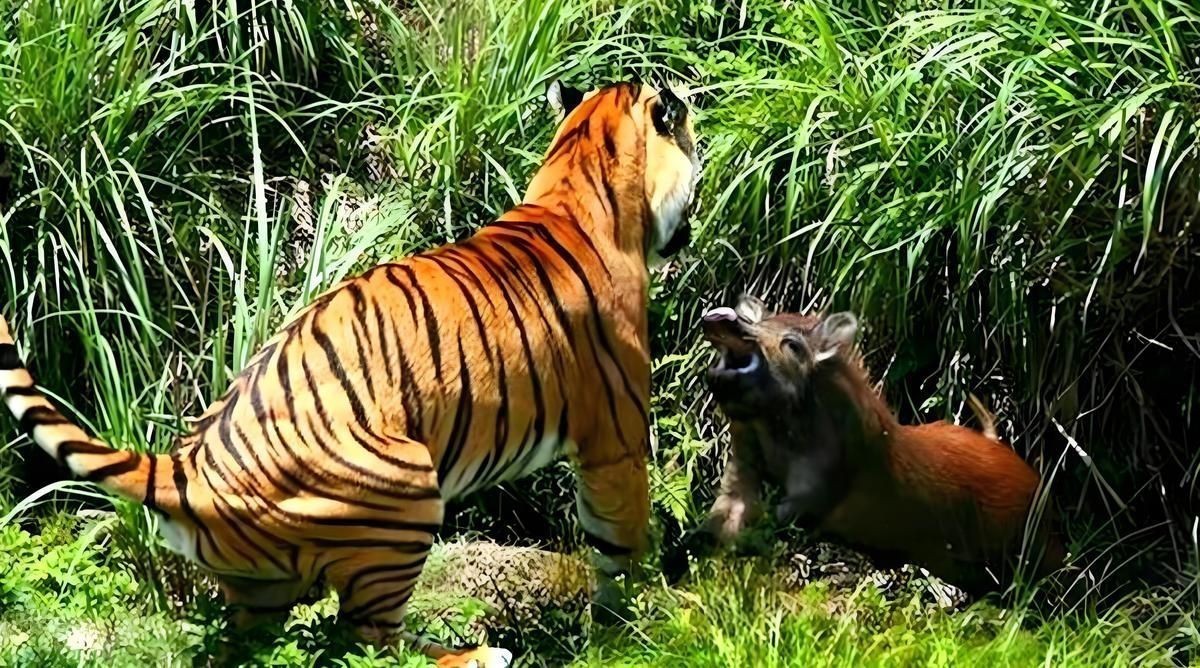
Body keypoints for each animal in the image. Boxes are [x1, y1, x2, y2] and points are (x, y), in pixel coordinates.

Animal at [0, 79, 701, 667]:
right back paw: (478, 655)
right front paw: (634, 627)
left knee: (263, 643)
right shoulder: (616, 435)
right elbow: (618, 542)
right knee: (368, 640)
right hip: (409, 492)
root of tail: (186, 467)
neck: (579, 180)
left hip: (260, 590)